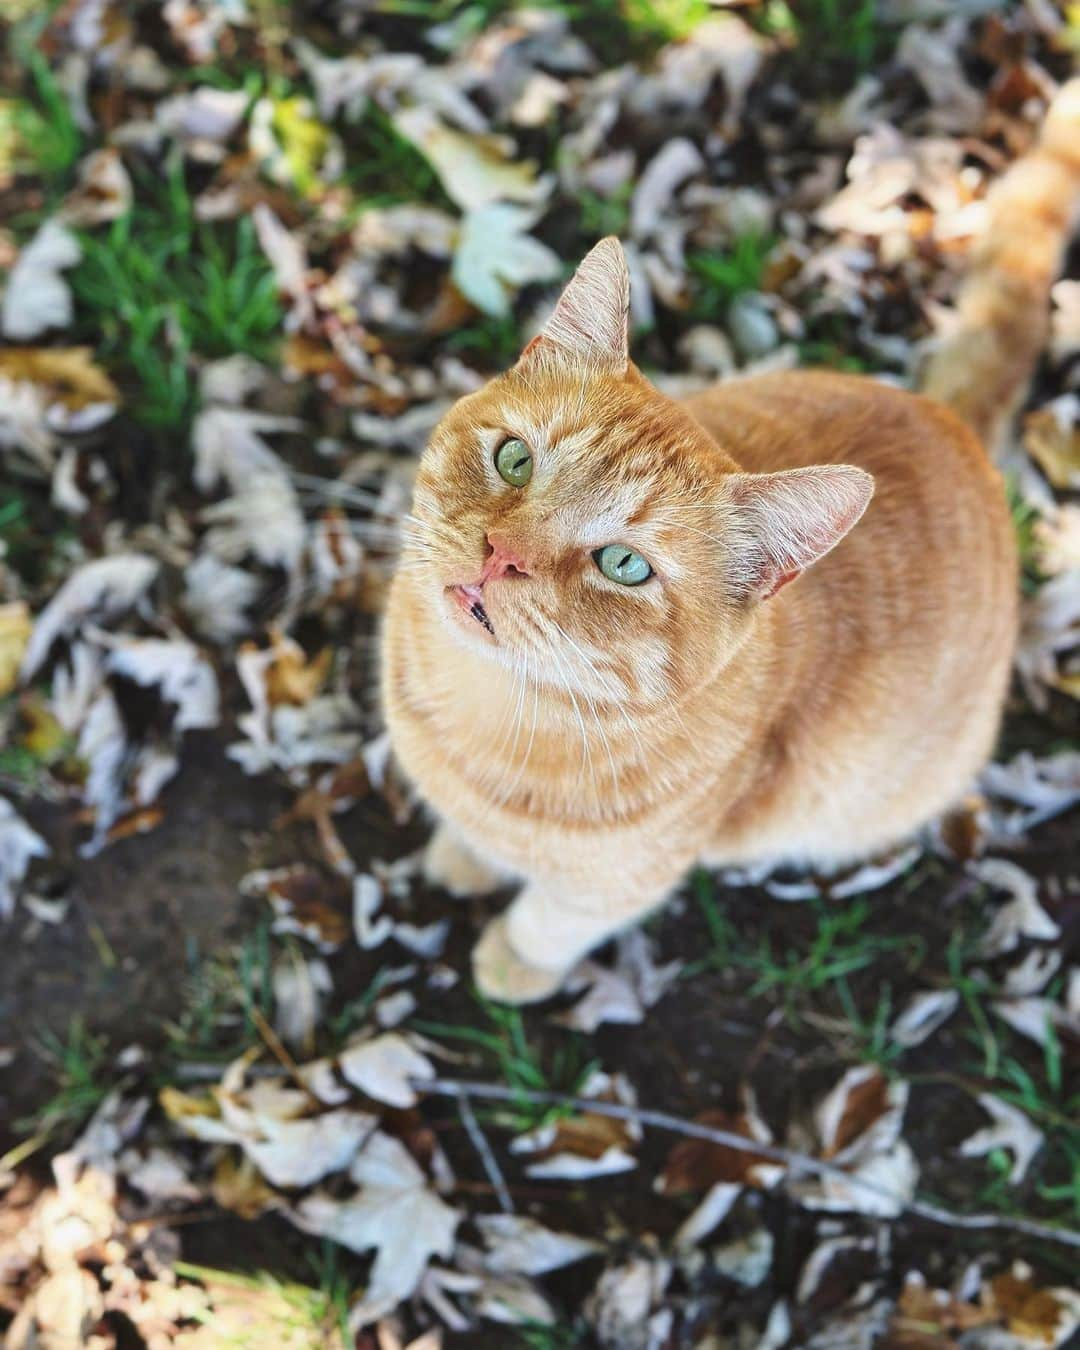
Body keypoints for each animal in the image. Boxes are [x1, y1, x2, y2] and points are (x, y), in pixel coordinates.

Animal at [380, 73, 1080, 1004]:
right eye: (514, 458)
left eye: (624, 565)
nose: (503, 554)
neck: (480, 713)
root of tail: (953, 422)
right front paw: (464, 855)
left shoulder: (626, 878)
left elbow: (554, 918)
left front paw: (512, 961)